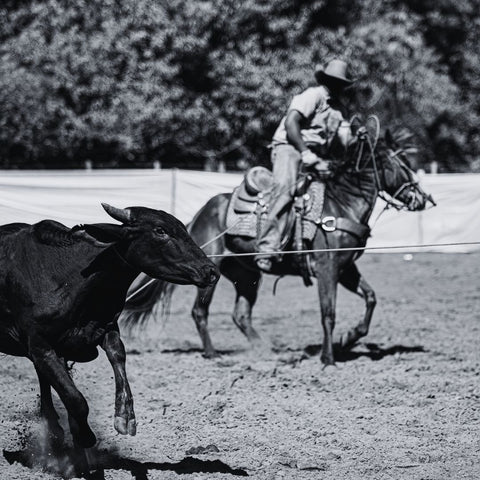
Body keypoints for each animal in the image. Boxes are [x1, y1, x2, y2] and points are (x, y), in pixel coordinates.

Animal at [122, 125, 434, 366]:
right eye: (397, 164)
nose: (421, 198)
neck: (341, 204)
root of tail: (200, 213)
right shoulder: (327, 267)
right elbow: (328, 313)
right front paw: (328, 357)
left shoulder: (345, 268)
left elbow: (370, 299)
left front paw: (349, 338)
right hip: (208, 269)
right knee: (200, 311)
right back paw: (212, 353)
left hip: (246, 274)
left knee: (241, 315)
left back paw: (268, 350)